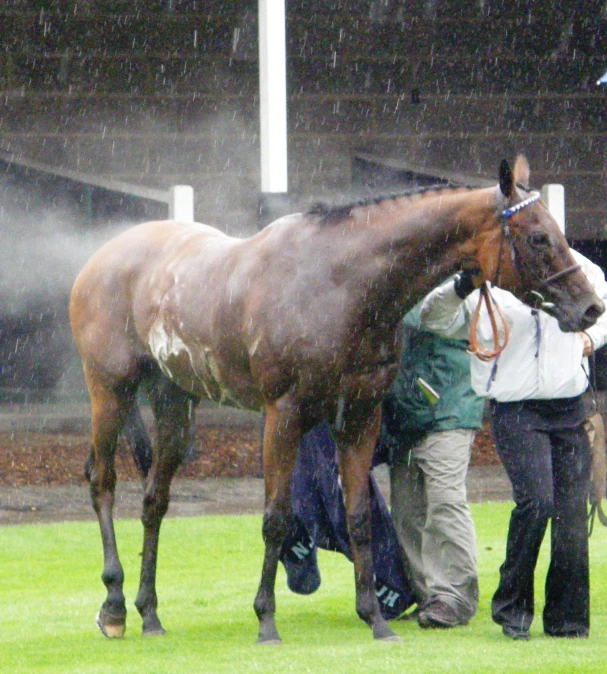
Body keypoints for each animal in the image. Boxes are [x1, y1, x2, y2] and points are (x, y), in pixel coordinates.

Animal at [70, 155, 604, 644]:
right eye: (538, 237)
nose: (591, 307)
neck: (338, 284)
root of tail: (100, 257)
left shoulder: (359, 415)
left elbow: (359, 515)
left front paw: (375, 618)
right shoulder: (283, 415)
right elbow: (276, 517)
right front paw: (266, 621)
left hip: (174, 402)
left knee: (154, 499)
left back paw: (149, 612)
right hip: (110, 390)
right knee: (102, 481)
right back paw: (114, 606)